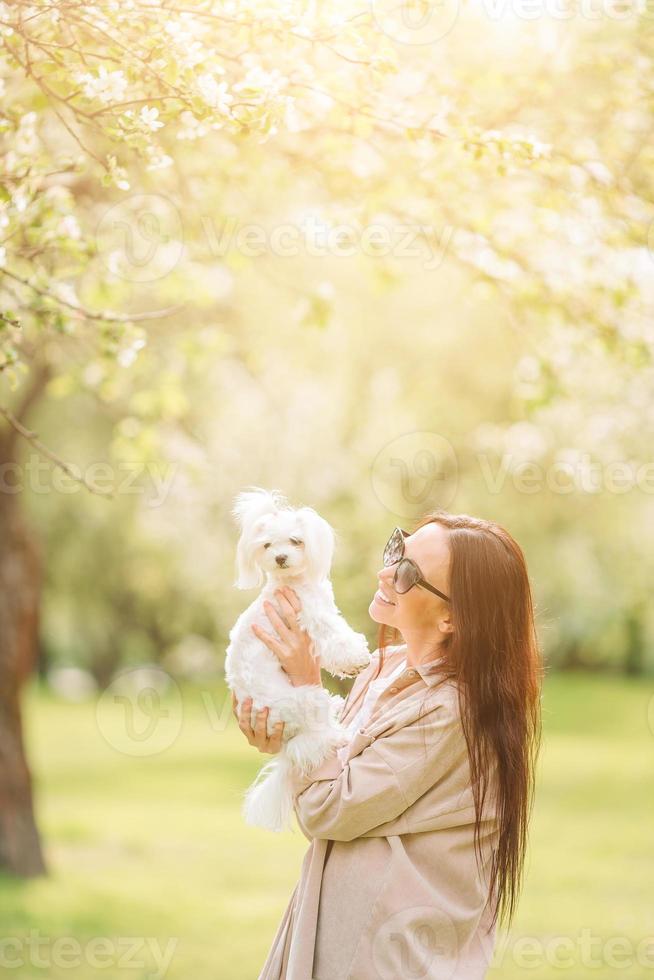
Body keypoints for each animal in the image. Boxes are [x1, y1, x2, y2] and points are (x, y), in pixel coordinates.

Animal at [226, 486, 372, 832]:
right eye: (267, 545)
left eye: (296, 540)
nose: (280, 557)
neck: (293, 584)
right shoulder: (313, 616)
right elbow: (336, 637)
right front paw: (355, 657)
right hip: (303, 700)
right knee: (320, 736)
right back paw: (338, 734)